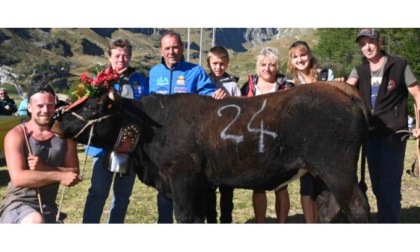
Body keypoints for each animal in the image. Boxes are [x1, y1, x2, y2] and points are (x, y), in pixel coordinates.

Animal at [50, 81, 370, 222]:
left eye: (92, 107)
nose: (56, 118)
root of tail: (340, 88)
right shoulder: (201, 185)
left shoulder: (182, 180)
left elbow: (184, 216)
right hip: (323, 175)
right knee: (330, 208)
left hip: (337, 170)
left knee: (356, 207)